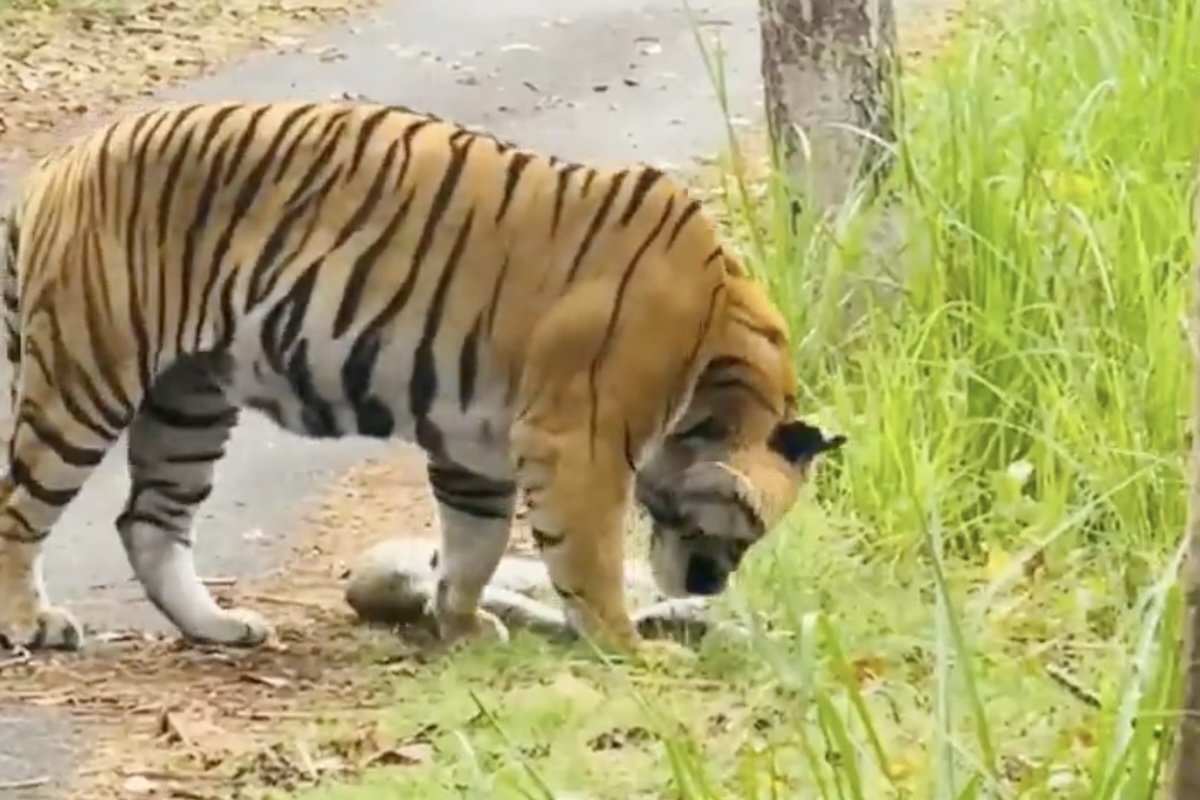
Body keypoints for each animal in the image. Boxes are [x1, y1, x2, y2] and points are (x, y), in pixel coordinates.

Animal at [0, 99, 846, 660]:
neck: (720, 356)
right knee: (21, 507)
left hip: (188, 399)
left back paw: (221, 627)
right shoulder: (578, 442)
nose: (708, 589)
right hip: (87, 378)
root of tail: (57, 166)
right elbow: (589, 561)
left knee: (149, 522)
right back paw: (30, 624)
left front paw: (463, 626)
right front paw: (630, 651)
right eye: (738, 532)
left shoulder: (478, 447)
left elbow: (472, 547)